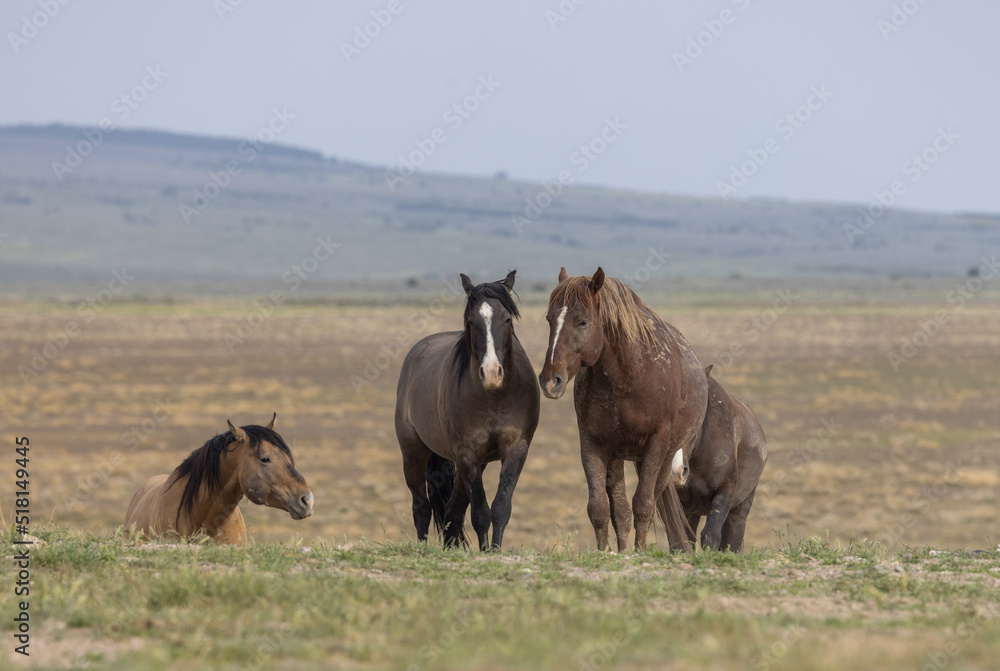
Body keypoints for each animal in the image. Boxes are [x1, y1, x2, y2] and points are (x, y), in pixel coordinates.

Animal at [395, 270, 540, 550]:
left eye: (507, 319)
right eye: (472, 321)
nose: (492, 373)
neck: (494, 397)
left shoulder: (515, 449)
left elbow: (500, 508)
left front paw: (493, 550)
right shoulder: (468, 454)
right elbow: (480, 512)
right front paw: (485, 551)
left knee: (453, 509)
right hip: (414, 453)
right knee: (421, 507)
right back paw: (422, 548)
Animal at [538, 267, 708, 552]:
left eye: (582, 322)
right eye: (550, 319)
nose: (551, 381)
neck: (628, 378)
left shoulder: (656, 443)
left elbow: (643, 505)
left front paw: (639, 551)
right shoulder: (593, 442)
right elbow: (600, 507)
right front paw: (606, 552)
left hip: (664, 458)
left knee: (650, 499)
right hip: (617, 456)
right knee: (620, 510)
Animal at [677, 366, 767, 552]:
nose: (676, 470)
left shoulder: (725, 491)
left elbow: (710, 534)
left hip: (739, 511)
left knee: (732, 541)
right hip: (692, 510)